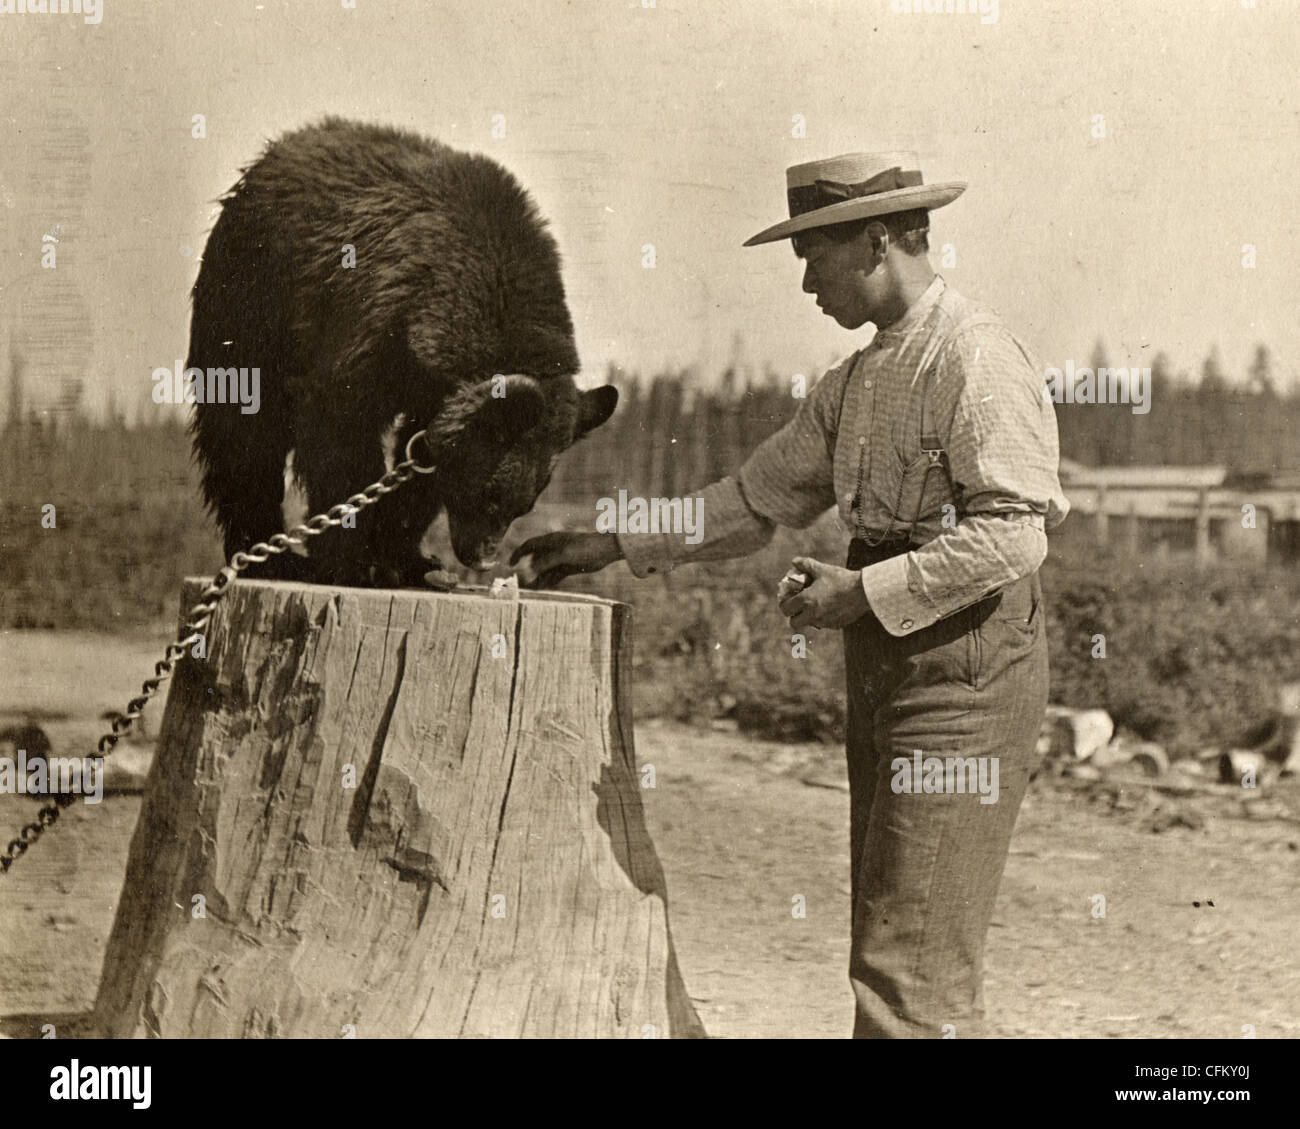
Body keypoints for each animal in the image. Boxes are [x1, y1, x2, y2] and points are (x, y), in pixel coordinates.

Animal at [188, 117, 618, 585]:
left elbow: (421, 463)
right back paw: (267, 554)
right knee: (242, 430)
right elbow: (339, 432)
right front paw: (350, 561)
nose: (480, 559)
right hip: (246, 300)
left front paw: (408, 561)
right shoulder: (372, 326)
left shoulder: (435, 391)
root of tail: (275, 152)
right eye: (487, 495)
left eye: (524, 506)